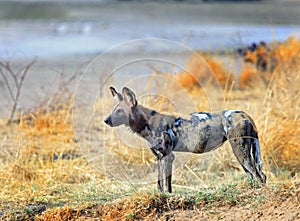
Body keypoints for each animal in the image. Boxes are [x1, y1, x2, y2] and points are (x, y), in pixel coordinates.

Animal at [104, 86, 266, 192]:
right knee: (258, 175)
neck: (147, 123)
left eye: (119, 111)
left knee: (257, 175)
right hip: (243, 154)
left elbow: (167, 185)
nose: (106, 120)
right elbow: (160, 183)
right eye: (113, 110)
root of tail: (244, 114)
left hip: (240, 152)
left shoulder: (168, 156)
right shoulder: (160, 158)